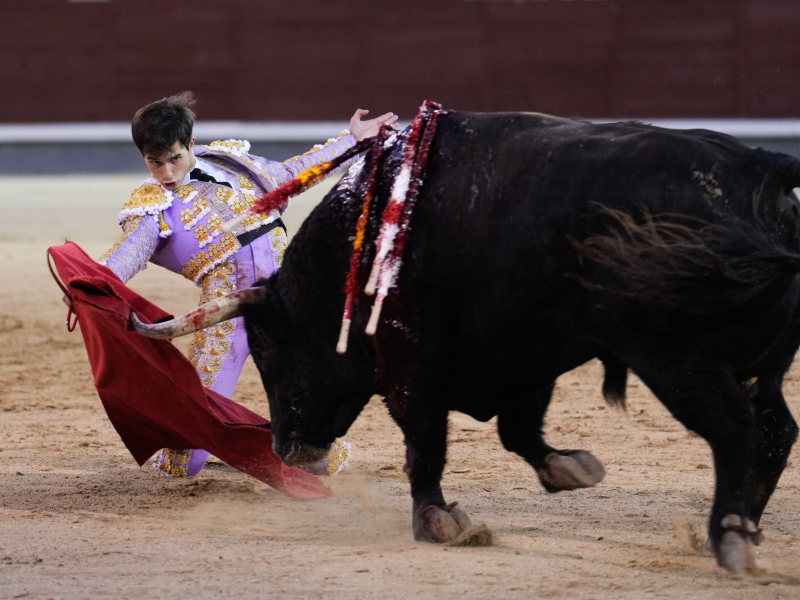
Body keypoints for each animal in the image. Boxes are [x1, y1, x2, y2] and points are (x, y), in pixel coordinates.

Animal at [134, 113, 800, 576]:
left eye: (270, 351)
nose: (287, 449)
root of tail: (761, 176)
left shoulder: (410, 358)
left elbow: (425, 440)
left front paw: (437, 521)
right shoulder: (525, 351)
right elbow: (517, 429)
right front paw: (571, 468)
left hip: (674, 355)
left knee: (734, 427)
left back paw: (730, 535)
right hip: (757, 363)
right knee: (774, 429)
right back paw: (745, 530)